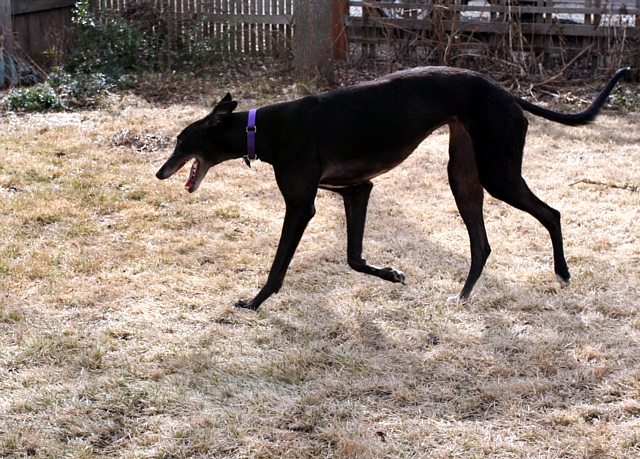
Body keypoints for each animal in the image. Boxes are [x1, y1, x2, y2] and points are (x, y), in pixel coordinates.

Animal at [157, 66, 629, 310]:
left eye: (181, 141)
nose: (160, 173)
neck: (261, 129)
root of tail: (507, 93)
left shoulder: (301, 205)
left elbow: (279, 267)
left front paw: (254, 303)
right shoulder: (356, 190)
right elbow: (353, 258)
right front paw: (392, 273)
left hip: (498, 175)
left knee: (551, 213)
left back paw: (562, 273)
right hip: (464, 176)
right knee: (482, 243)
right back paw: (463, 296)